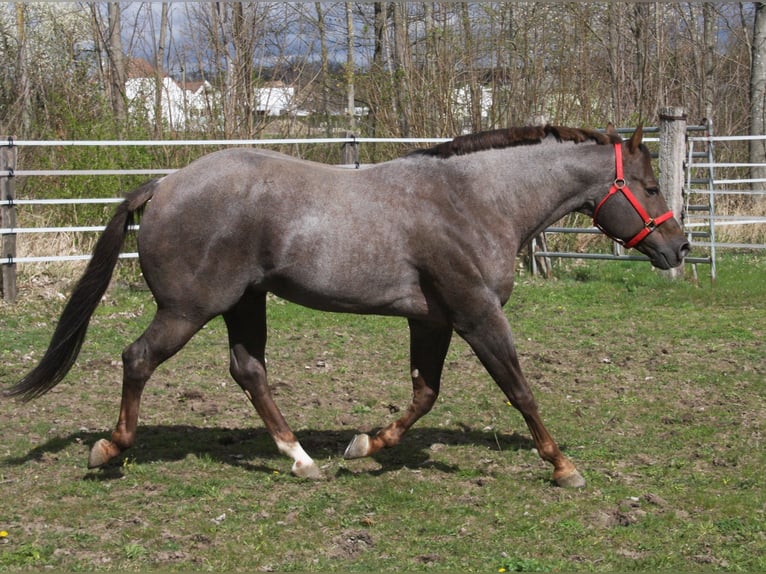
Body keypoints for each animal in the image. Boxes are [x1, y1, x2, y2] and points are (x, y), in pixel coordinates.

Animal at [4, 126, 688, 490]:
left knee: (248, 371)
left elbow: (424, 394)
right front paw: (563, 466)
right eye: (652, 186)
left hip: (245, 304)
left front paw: (366, 445)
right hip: (187, 310)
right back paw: (109, 450)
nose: (679, 247)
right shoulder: (477, 316)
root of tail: (164, 185)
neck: (473, 200)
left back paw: (303, 460)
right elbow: (519, 389)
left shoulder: (431, 320)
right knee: (138, 358)